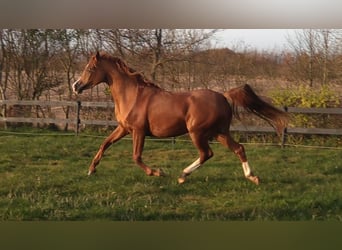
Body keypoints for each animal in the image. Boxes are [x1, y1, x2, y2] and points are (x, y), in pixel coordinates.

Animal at [73, 51, 288, 185]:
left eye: (90, 69)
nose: (76, 86)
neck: (132, 95)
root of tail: (223, 95)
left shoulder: (139, 131)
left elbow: (136, 157)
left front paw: (158, 172)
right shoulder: (124, 128)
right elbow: (104, 144)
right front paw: (91, 170)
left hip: (198, 133)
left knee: (207, 153)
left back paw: (182, 175)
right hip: (219, 132)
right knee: (238, 149)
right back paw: (252, 177)